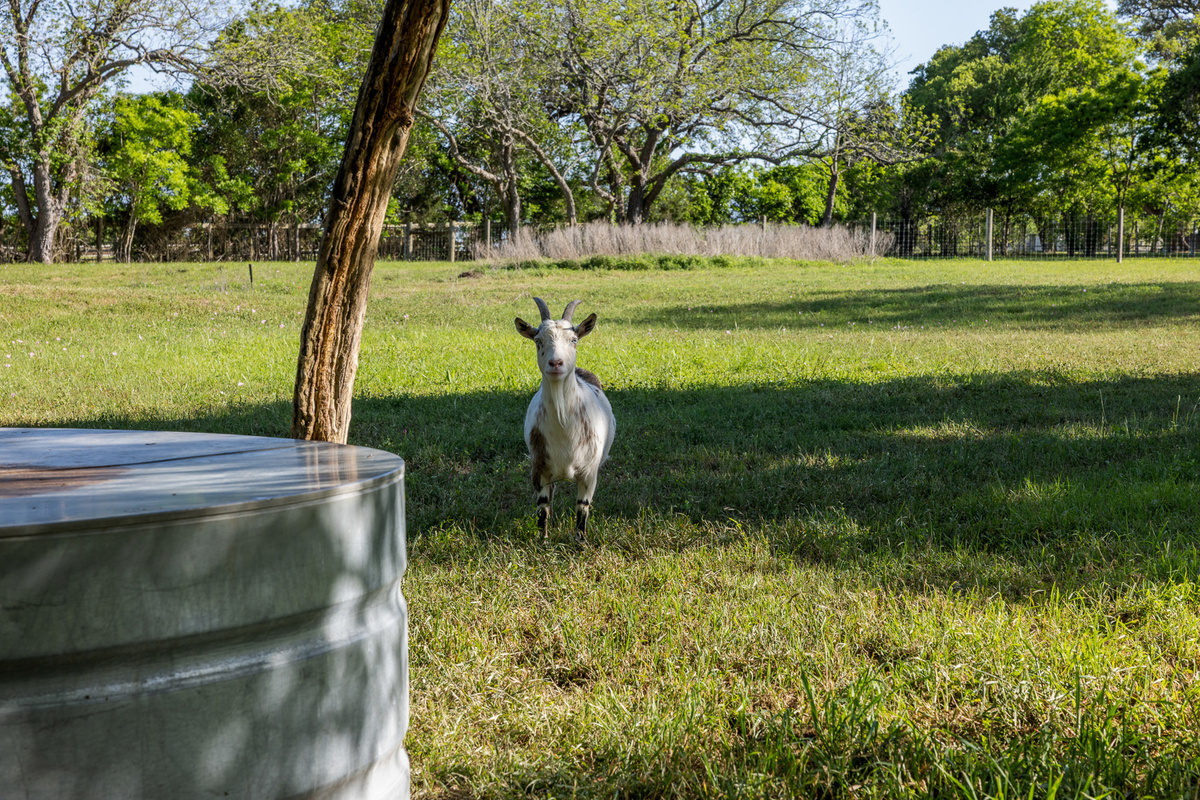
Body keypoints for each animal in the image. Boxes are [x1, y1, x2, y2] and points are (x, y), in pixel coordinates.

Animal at [515, 297, 616, 540]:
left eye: (574, 340)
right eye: (538, 341)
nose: (556, 363)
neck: (565, 429)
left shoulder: (589, 473)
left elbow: (582, 508)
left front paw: (580, 542)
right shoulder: (539, 467)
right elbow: (542, 507)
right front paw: (543, 541)